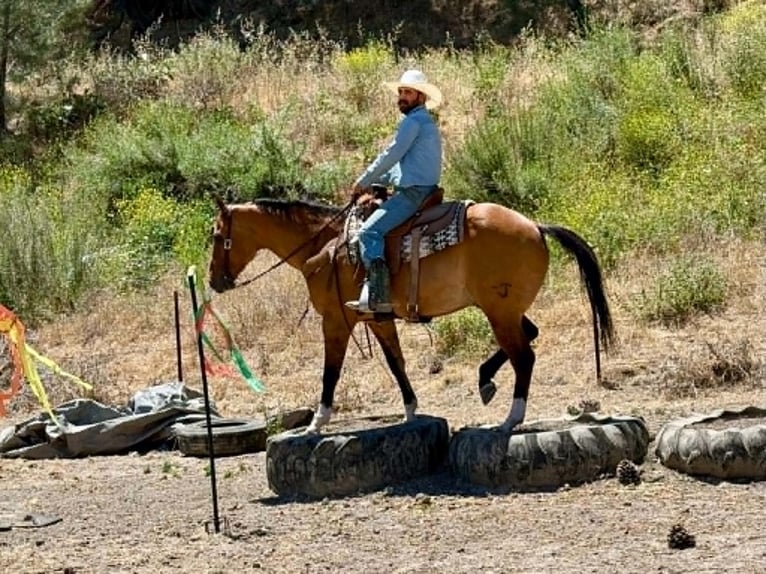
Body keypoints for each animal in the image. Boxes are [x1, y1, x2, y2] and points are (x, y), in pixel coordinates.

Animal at [208, 195, 615, 434]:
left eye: (215, 235)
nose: (214, 280)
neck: (325, 245)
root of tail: (536, 227)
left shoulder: (336, 321)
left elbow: (330, 371)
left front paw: (317, 422)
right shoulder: (378, 319)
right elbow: (396, 362)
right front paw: (411, 411)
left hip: (499, 312)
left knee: (524, 357)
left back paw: (511, 418)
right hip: (507, 310)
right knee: (530, 335)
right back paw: (485, 380)